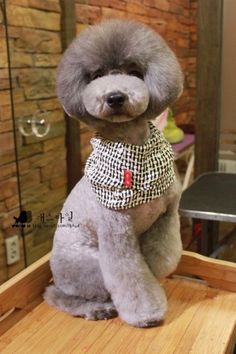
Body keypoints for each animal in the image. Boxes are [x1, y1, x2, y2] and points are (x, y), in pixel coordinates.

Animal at [44, 19, 184, 328]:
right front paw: (146, 313)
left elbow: (163, 258)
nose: (115, 97)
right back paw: (97, 309)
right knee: (58, 295)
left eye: (134, 72)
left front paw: (156, 276)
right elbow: (131, 276)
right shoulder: (116, 233)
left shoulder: (166, 216)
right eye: (96, 76)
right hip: (88, 267)